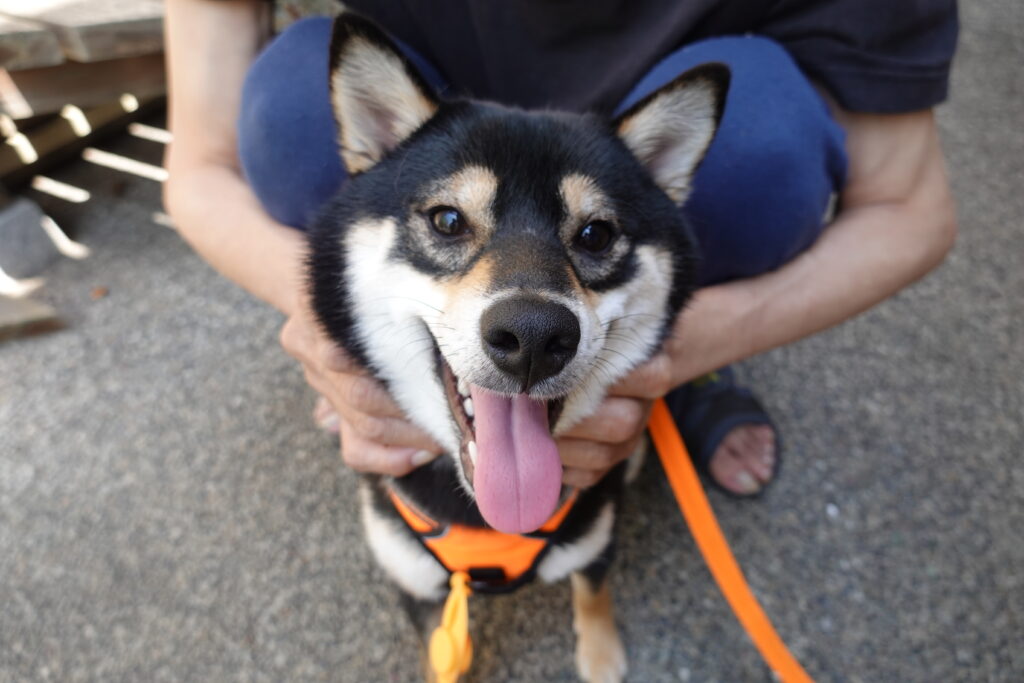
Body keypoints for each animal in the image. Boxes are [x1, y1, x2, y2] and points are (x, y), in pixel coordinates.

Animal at [305, 12, 729, 683]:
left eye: (596, 233)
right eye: (448, 220)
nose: (533, 335)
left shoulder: (593, 532)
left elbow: (593, 591)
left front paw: (601, 656)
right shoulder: (415, 582)